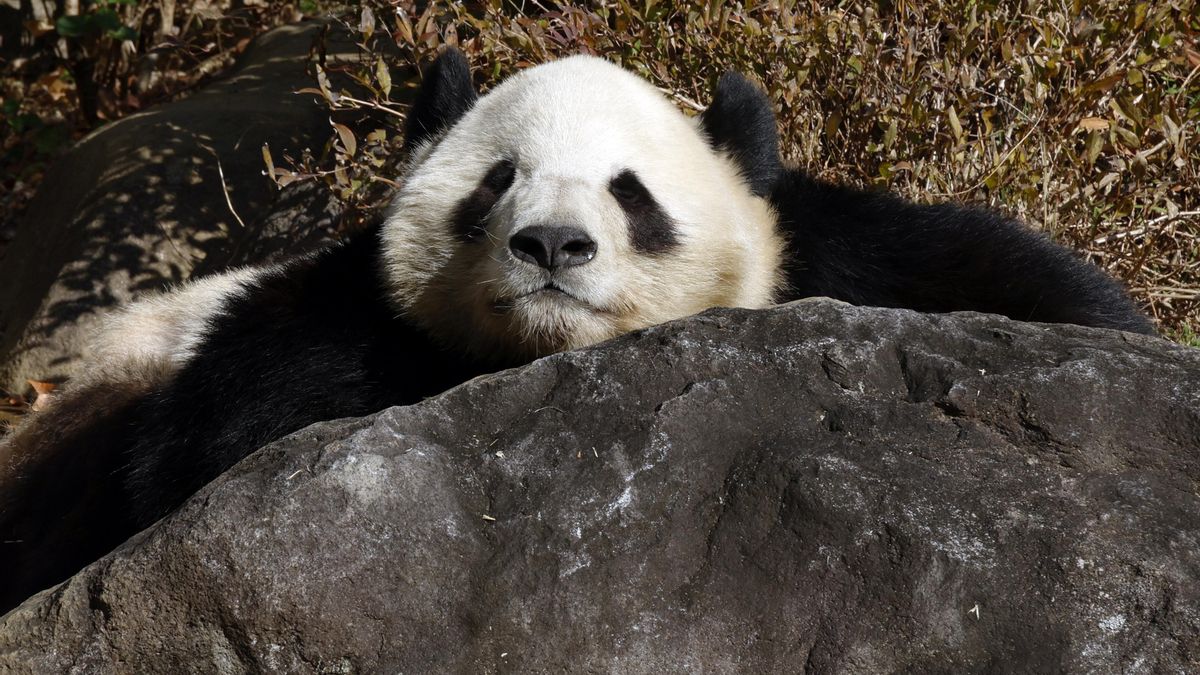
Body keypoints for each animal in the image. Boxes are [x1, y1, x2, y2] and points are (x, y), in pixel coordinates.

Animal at [0, 49, 1152, 613]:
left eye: (630, 192)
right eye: (497, 180)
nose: (552, 244)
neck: (550, 355)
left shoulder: (836, 256)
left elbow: (1026, 292)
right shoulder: (319, 326)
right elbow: (229, 439)